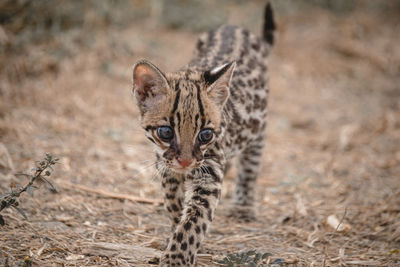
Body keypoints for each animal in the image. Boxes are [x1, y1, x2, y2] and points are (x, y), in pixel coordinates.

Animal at [131, 2, 276, 267]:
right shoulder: (165, 166)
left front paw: (176, 258)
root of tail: (236, 26)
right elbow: (175, 204)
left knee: (250, 165)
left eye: (205, 134)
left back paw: (244, 206)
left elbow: (195, 219)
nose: (186, 161)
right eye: (166, 132)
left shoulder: (208, 172)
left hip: (259, 125)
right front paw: (174, 232)